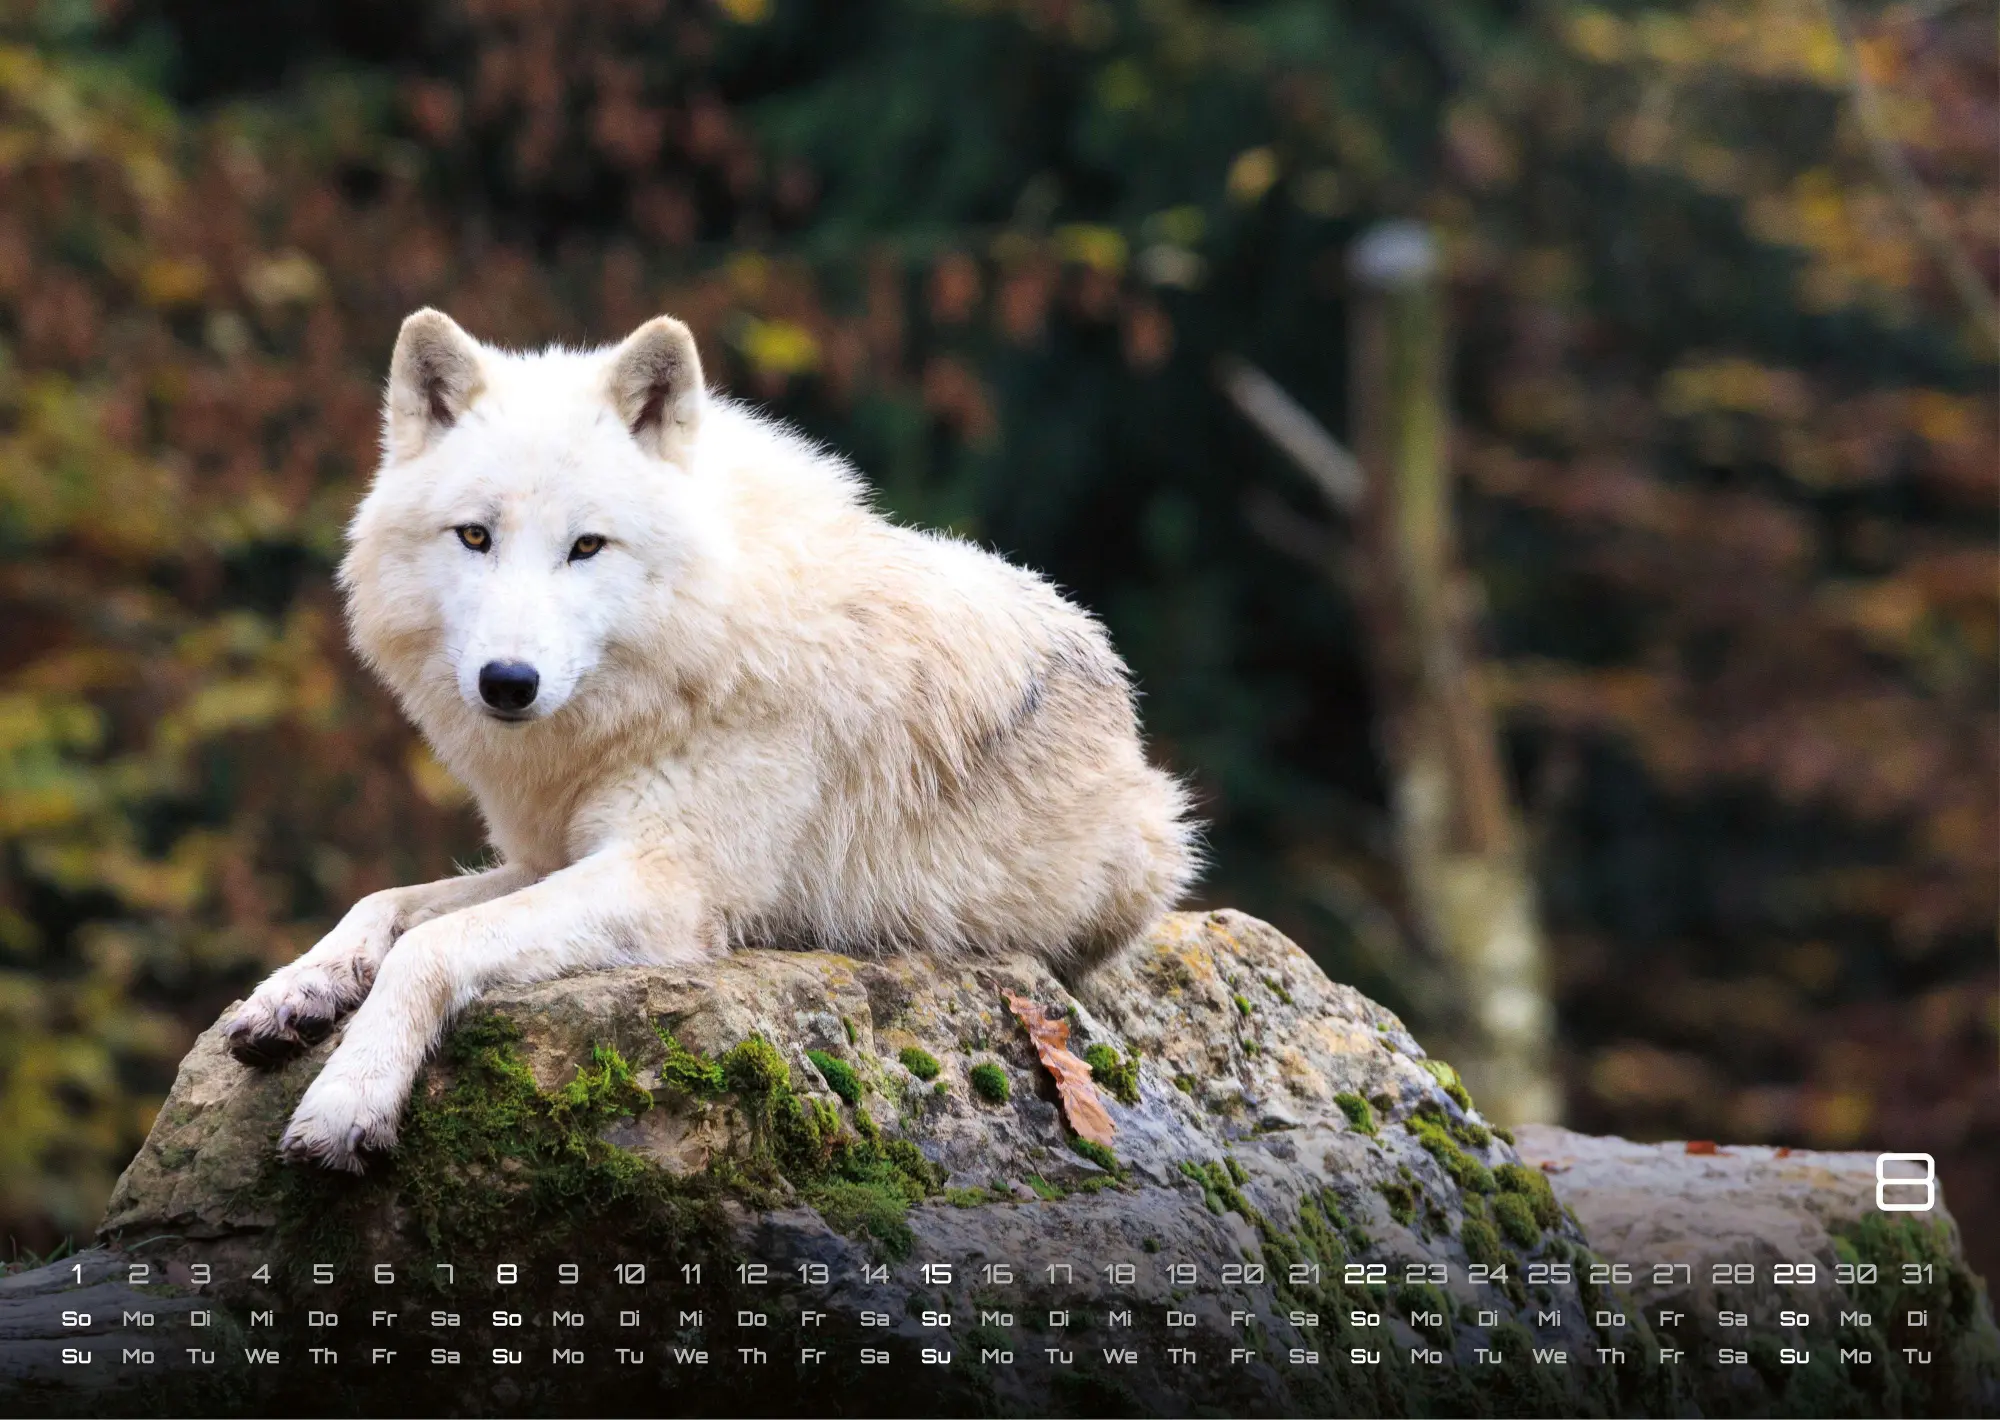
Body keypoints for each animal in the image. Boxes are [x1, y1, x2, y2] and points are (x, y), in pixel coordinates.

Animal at [224, 309, 1199, 1171]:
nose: (508, 681)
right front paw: (292, 992)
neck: (686, 660)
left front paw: (348, 1101)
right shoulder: (551, 856)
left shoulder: (666, 883)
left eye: (587, 547)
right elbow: (384, 903)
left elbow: (430, 945)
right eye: (474, 535)